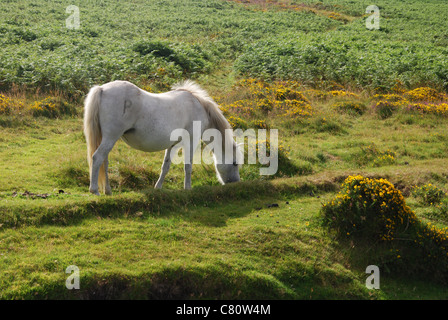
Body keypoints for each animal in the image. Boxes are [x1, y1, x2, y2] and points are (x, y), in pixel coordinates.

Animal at [82, 80, 240, 195]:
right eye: (235, 163)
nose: (235, 183)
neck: (197, 106)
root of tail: (102, 89)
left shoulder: (173, 144)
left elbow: (166, 166)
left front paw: (158, 187)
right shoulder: (191, 140)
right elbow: (188, 166)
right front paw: (188, 189)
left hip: (108, 139)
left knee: (104, 161)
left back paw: (108, 191)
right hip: (111, 137)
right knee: (97, 158)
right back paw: (95, 191)